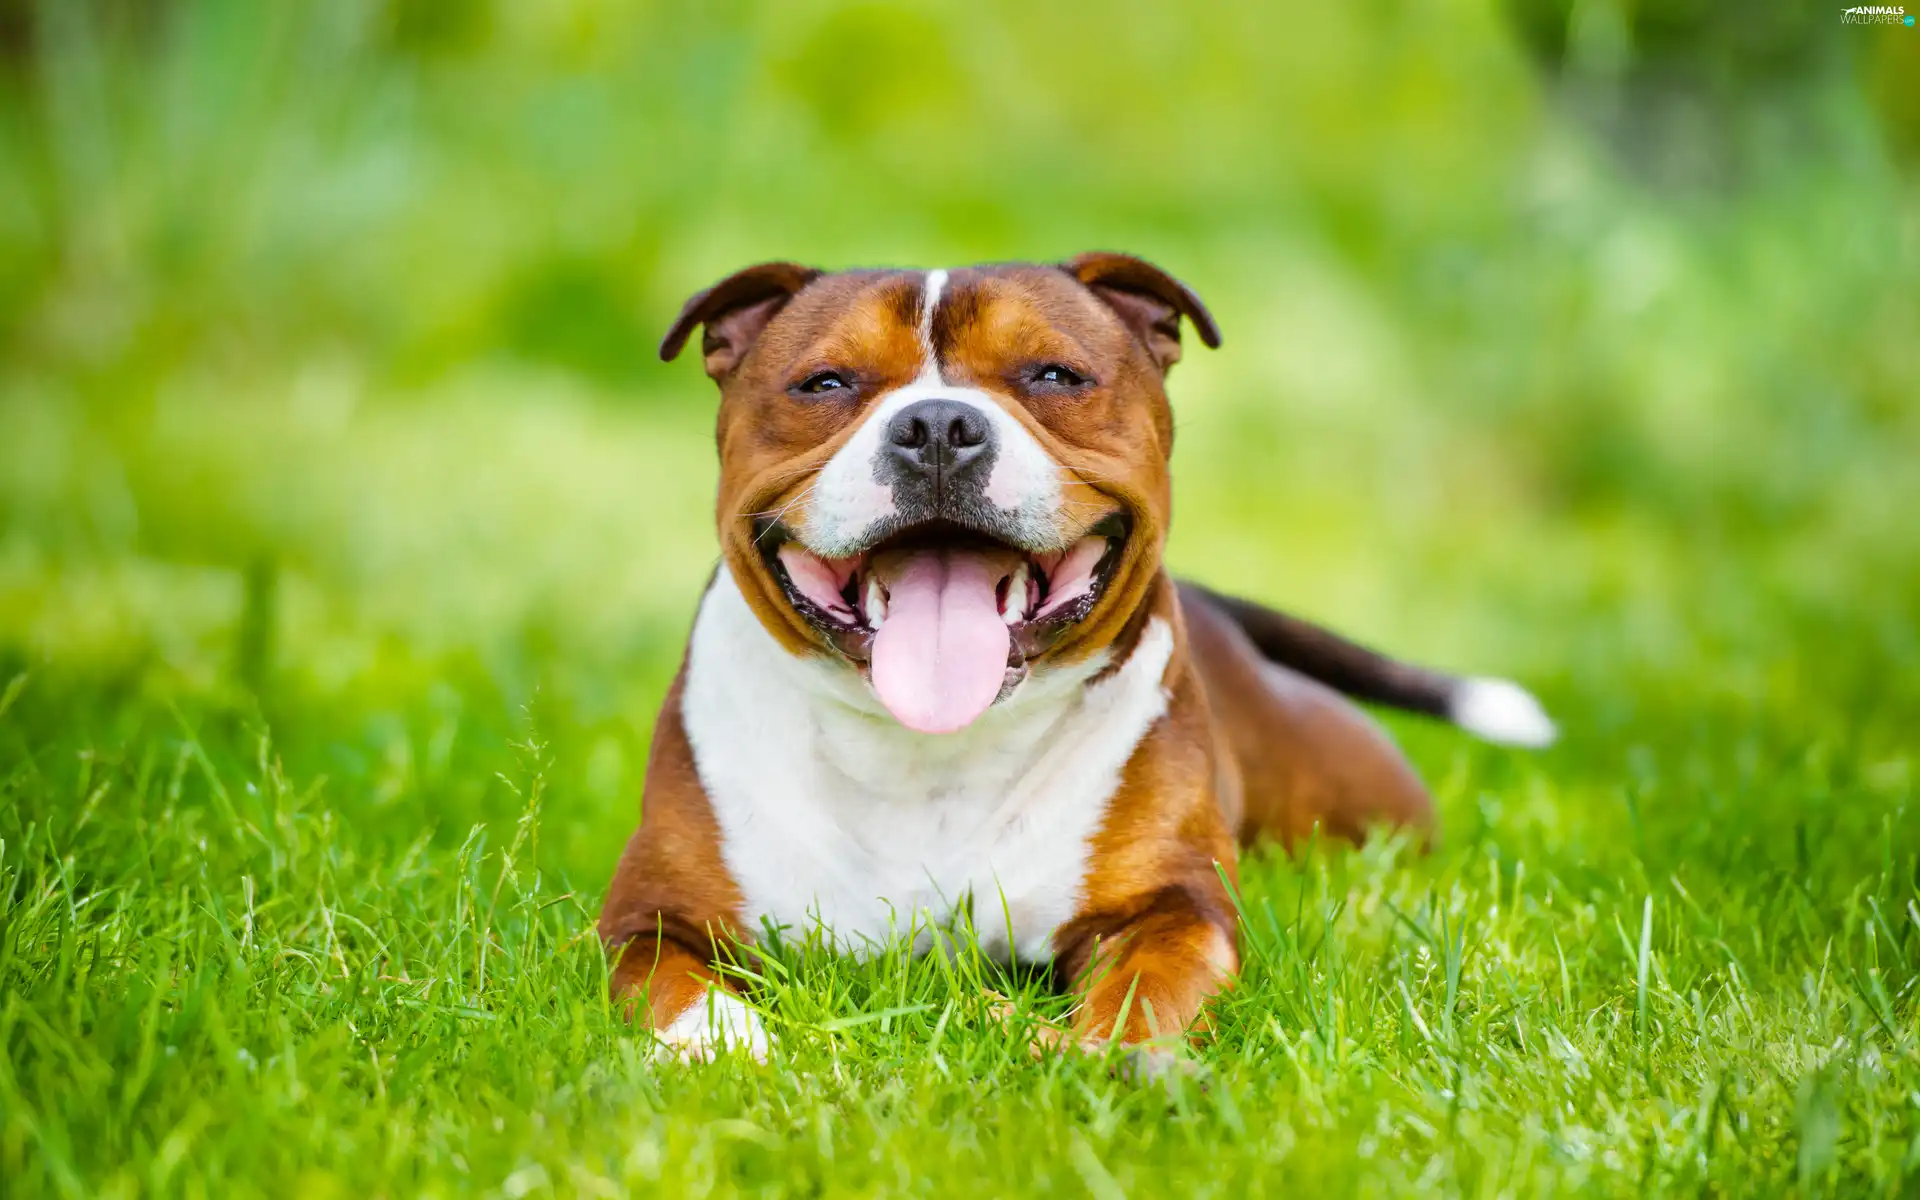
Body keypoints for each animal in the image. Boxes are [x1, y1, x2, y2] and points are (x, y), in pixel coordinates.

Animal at [599, 249, 1559, 1059]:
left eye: (1054, 375)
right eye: (826, 382)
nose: (937, 425)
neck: (928, 754)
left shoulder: (1170, 907)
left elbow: (1145, 987)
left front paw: (1102, 1053)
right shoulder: (652, 913)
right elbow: (674, 981)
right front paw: (720, 1046)